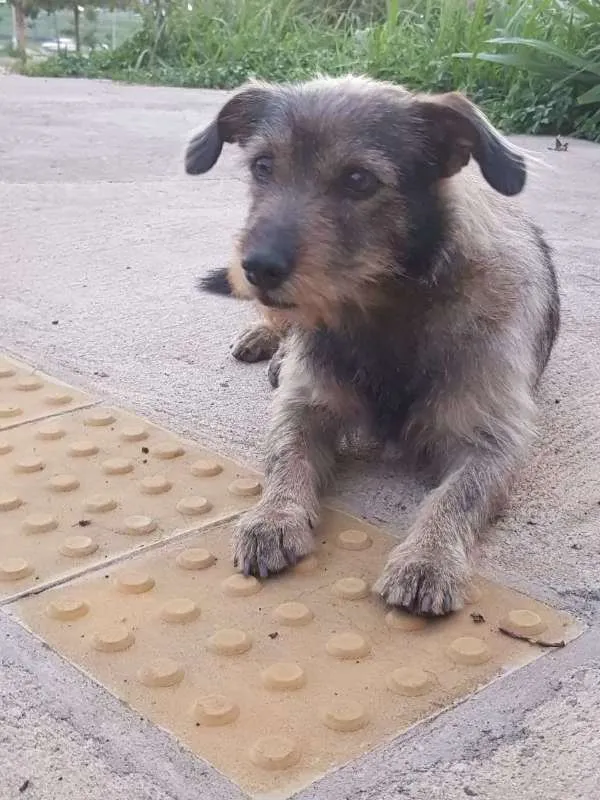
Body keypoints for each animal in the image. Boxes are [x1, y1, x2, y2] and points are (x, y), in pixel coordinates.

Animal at [185, 75, 560, 616]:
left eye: (359, 179)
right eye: (262, 166)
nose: (257, 268)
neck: (384, 311)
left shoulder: (492, 440)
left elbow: (455, 497)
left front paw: (428, 557)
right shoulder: (305, 405)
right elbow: (286, 456)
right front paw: (273, 515)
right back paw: (266, 341)